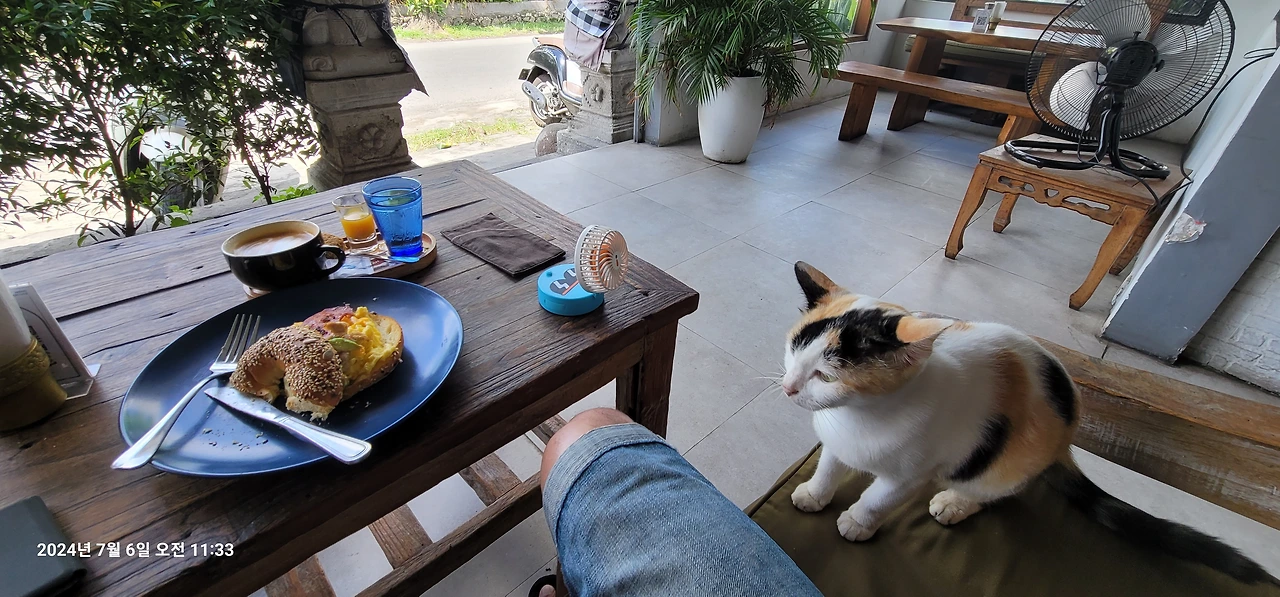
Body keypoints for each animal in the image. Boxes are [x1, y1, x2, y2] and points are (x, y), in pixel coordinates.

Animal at [782, 260, 1276, 585]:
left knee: (995, 489)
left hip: (1003, 459)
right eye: (792, 351)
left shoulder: (910, 475)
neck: (859, 417)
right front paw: (815, 494)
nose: (787, 388)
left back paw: (955, 503)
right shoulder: (836, 445)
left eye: (825, 375)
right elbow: (828, 468)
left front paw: (858, 522)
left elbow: (878, 498)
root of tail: (1066, 438)